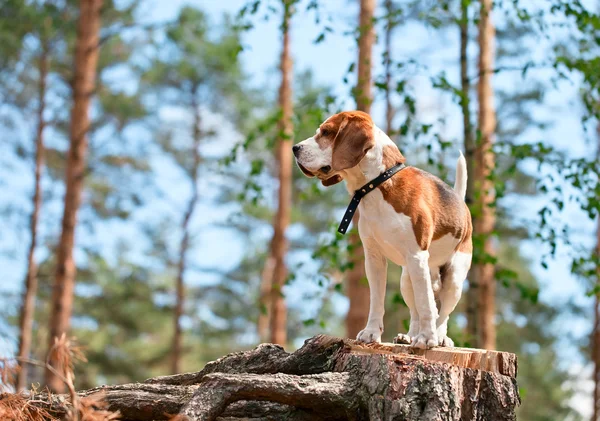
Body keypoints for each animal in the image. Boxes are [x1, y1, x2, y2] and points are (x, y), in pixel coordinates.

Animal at [292, 109, 472, 348]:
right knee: (418, 308)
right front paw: (371, 333)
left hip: (452, 277)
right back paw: (409, 336)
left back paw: (439, 337)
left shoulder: (416, 256)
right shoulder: (374, 258)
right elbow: (377, 300)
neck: (376, 186)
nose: (295, 148)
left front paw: (427, 338)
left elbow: (425, 304)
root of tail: (462, 204)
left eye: (327, 132)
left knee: (440, 313)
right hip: (408, 278)